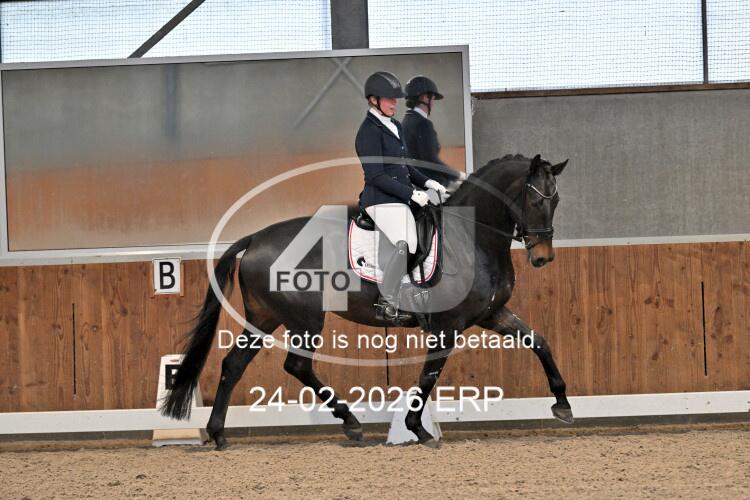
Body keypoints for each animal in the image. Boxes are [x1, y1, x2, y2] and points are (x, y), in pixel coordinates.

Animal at [161, 153, 572, 449]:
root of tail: (256, 237)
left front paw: (563, 405)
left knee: (234, 364)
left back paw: (219, 433)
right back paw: (352, 424)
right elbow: (430, 374)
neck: (471, 238)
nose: (543, 257)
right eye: (534, 199)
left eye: (556, 200)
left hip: (265, 317)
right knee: (297, 365)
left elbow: (540, 341)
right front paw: (417, 429)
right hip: (305, 318)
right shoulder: (448, 325)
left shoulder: (492, 313)